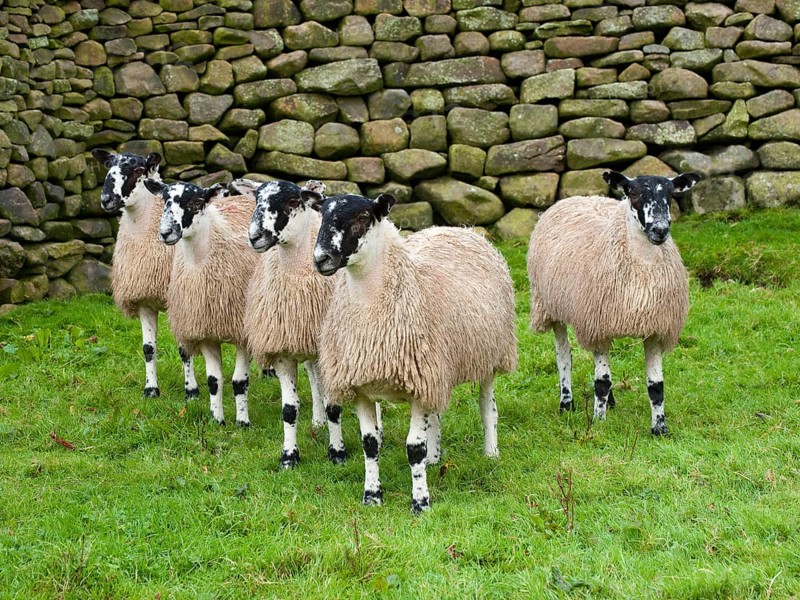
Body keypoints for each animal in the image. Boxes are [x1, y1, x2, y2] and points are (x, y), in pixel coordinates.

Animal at [91, 149, 198, 400]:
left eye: (138, 169)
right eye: (108, 166)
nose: (106, 199)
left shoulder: (179, 302)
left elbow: (184, 349)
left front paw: (191, 391)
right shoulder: (144, 300)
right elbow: (148, 348)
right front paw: (151, 389)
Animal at [143, 178, 257, 427]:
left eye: (196, 202)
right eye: (164, 200)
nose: (166, 233)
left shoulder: (242, 332)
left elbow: (239, 382)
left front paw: (243, 422)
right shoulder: (205, 329)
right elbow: (214, 380)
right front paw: (217, 420)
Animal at [230, 178, 347, 469]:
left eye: (293, 201)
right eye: (256, 199)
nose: (255, 236)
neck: (297, 278)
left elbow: (334, 405)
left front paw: (337, 452)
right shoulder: (283, 351)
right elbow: (289, 409)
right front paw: (289, 456)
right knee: (315, 380)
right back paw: (317, 422)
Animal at [307, 190, 518, 513]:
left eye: (363, 217)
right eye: (323, 214)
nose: (321, 259)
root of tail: (460, 229)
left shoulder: (420, 383)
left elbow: (413, 448)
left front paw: (420, 502)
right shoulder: (362, 386)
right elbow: (370, 444)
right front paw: (372, 496)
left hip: (489, 355)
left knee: (487, 407)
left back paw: (490, 452)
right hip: (439, 371)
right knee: (435, 413)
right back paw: (434, 458)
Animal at [527, 170, 700, 435]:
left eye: (671, 195)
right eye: (634, 193)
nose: (660, 229)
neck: (642, 266)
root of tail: (582, 197)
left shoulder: (655, 328)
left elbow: (656, 386)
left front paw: (660, 428)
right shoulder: (597, 324)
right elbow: (601, 381)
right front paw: (598, 423)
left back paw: (610, 402)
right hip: (551, 307)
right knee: (564, 356)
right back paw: (567, 402)